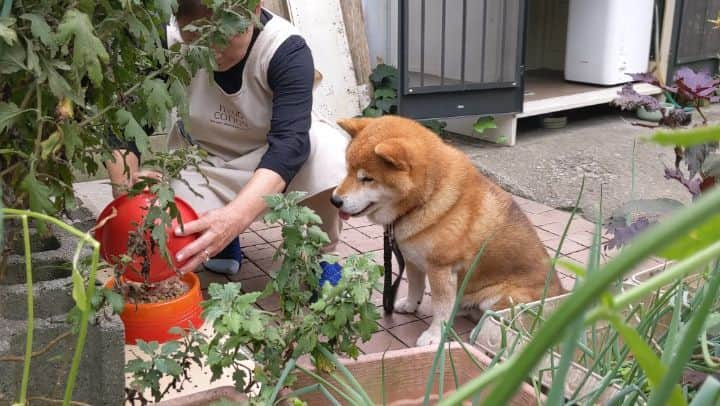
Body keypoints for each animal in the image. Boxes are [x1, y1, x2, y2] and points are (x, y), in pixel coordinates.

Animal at [334, 115, 568, 346]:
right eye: (347, 171)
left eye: (367, 178)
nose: (334, 200)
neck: (426, 198)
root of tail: (561, 293)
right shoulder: (412, 259)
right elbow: (415, 287)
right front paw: (410, 305)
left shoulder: (441, 269)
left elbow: (440, 307)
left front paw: (434, 335)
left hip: (501, 299)